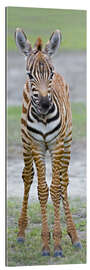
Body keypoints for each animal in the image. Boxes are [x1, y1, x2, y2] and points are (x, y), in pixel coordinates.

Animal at [14, 28, 81, 256]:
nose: (44, 105)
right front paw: (46, 243)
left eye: (50, 74)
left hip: (67, 142)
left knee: (64, 181)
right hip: (26, 144)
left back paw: (74, 235)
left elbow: (56, 189)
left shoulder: (58, 146)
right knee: (28, 177)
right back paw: (21, 233)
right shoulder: (36, 146)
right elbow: (43, 190)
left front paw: (58, 242)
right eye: (29, 75)